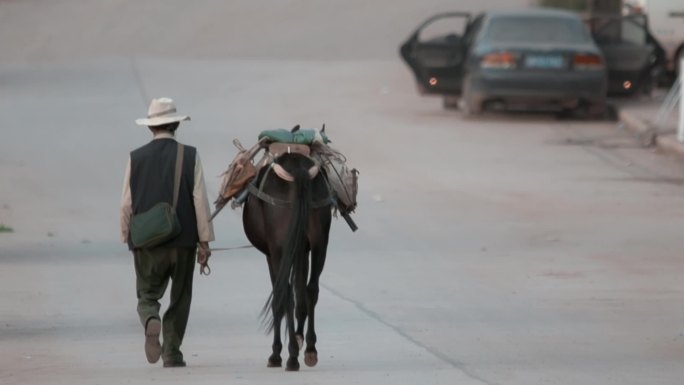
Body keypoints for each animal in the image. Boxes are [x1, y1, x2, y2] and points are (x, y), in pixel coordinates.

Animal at [243, 149, 334, 368]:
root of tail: (298, 170)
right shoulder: (303, 250)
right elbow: (301, 295)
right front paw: (301, 340)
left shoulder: (273, 253)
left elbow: (280, 297)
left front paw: (277, 353)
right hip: (320, 243)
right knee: (311, 289)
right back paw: (310, 349)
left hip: (280, 249)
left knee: (285, 295)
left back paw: (291, 356)